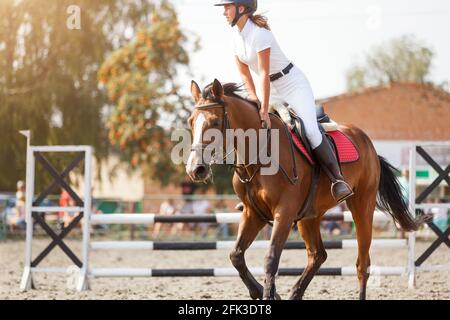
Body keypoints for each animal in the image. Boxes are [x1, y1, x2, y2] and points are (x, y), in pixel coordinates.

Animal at [185, 79, 420, 298]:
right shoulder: (253, 214)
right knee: (317, 255)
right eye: (191, 122)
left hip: (362, 206)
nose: (195, 169)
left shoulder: (284, 212)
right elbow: (236, 256)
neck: (258, 155)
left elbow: (271, 259)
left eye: (215, 122)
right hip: (310, 216)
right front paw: (263, 292)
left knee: (362, 263)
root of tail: (368, 143)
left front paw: (269, 294)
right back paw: (294, 293)